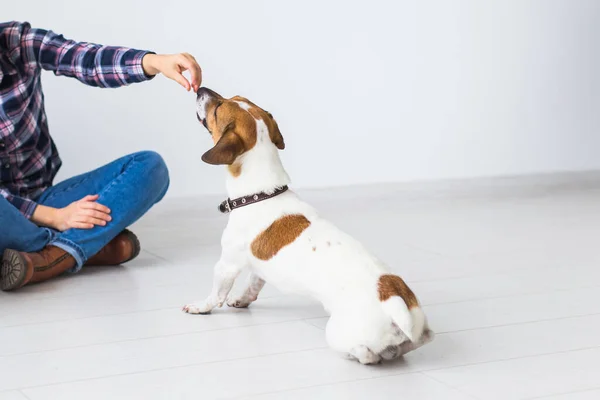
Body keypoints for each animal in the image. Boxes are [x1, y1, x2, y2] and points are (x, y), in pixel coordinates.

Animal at [183, 89, 432, 364]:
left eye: (217, 108)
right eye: (235, 97)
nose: (201, 89)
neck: (261, 194)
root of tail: (393, 298)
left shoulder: (227, 265)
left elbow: (216, 293)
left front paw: (200, 307)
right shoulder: (258, 269)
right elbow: (252, 286)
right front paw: (241, 301)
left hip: (338, 333)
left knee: (366, 354)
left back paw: (359, 355)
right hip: (411, 334)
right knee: (415, 343)